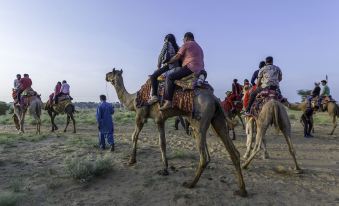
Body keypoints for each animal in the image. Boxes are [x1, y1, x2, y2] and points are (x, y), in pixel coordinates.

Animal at [105, 69, 248, 196]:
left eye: (111, 72)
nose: (106, 76)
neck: (133, 99)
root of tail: (214, 98)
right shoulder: (160, 119)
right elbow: (162, 143)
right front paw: (165, 168)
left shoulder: (140, 115)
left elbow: (134, 136)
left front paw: (131, 160)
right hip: (217, 119)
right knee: (233, 152)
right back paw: (242, 190)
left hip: (199, 121)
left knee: (204, 157)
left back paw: (190, 184)